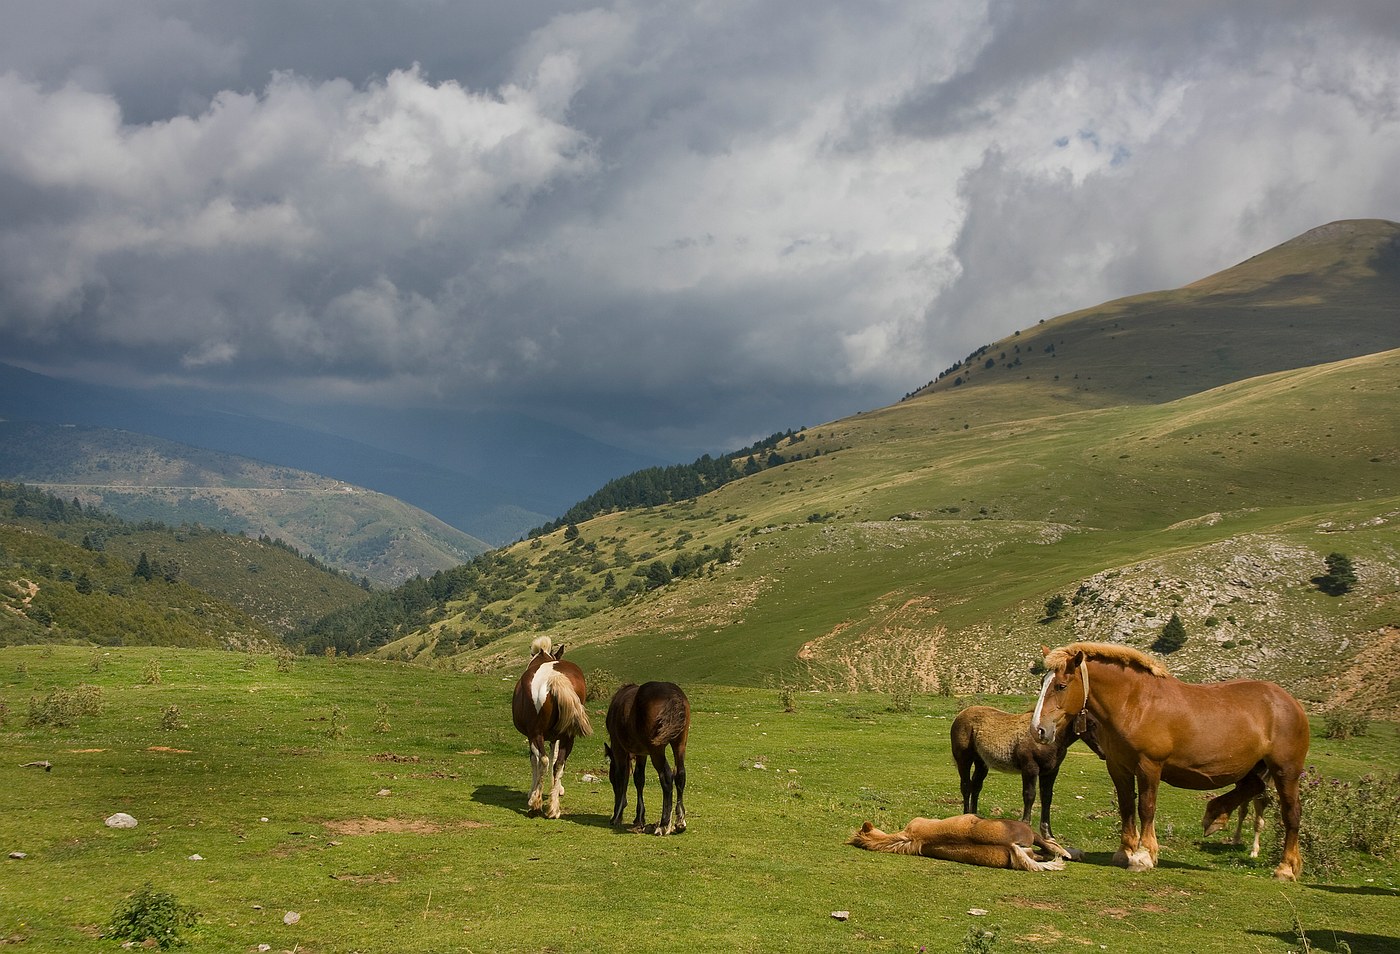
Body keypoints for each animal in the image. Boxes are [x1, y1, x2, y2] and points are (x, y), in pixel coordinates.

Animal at [509, 636, 590, 812]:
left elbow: (535, 760)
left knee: (544, 760)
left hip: (536, 733)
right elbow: (555, 757)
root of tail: (554, 677)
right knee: (559, 763)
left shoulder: (531, 736)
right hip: (568, 735)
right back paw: (553, 807)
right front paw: (557, 789)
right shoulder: (556, 737)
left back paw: (535, 801)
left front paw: (532, 792)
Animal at [604, 678, 691, 834]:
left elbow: (622, 777)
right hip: (680, 744)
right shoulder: (641, 753)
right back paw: (680, 822)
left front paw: (617, 816)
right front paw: (639, 818)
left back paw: (664, 824)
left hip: (657, 750)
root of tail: (673, 696)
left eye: (611, 779)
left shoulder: (619, 748)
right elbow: (639, 778)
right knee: (680, 774)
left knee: (666, 776)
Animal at [952, 700, 1092, 840]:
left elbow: (1047, 797)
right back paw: (964, 817)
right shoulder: (1030, 768)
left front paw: (1048, 834)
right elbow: (1029, 795)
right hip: (964, 759)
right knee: (966, 786)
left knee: (976, 786)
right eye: (1092, 722)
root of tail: (960, 714)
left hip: (981, 762)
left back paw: (974, 817)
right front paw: (1027, 827)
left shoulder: (1051, 771)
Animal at [1030, 638, 1310, 879]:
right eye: (1042, 683)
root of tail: (1291, 703)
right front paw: (1125, 852)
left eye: (1061, 686)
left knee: (1291, 813)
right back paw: (1215, 815)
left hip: (1286, 770)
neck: (1136, 704)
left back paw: (1286, 868)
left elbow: (1146, 807)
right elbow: (1126, 806)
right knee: (1252, 786)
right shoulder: (1118, 767)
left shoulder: (1149, 766)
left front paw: (1143, 855)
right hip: (1254, 766)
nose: (1038, 730)